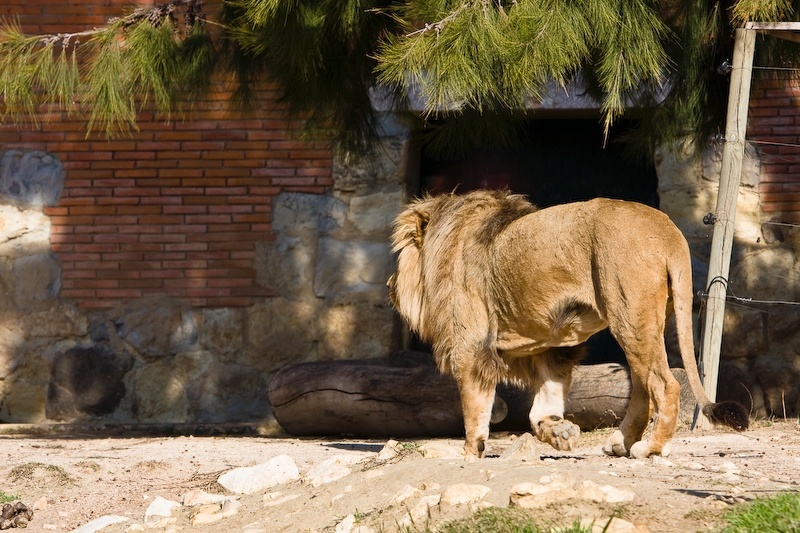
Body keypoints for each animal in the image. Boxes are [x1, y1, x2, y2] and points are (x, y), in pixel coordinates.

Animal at [387, 189, 748, 459]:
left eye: (399, 260)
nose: (390, 285)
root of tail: (668, 232)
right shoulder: (549, 345)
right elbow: (544, 401)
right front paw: (558, 431)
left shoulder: (472, 345)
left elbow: (474, 407)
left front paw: (469, 453)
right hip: (641, 320)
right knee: (643, 388)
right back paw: (620, 443)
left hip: (629, 315)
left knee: (665, 385)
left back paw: (650, 448)